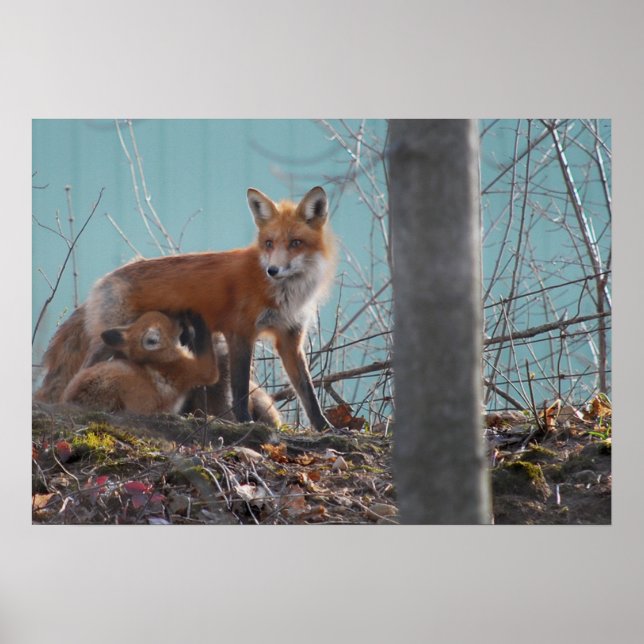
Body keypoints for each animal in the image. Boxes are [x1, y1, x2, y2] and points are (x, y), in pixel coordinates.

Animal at [61, 310, 219, 414]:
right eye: (169, 324)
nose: (180, 320)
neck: (161, 361)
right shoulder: (199, 371)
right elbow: (205, 341)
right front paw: (196, 317)